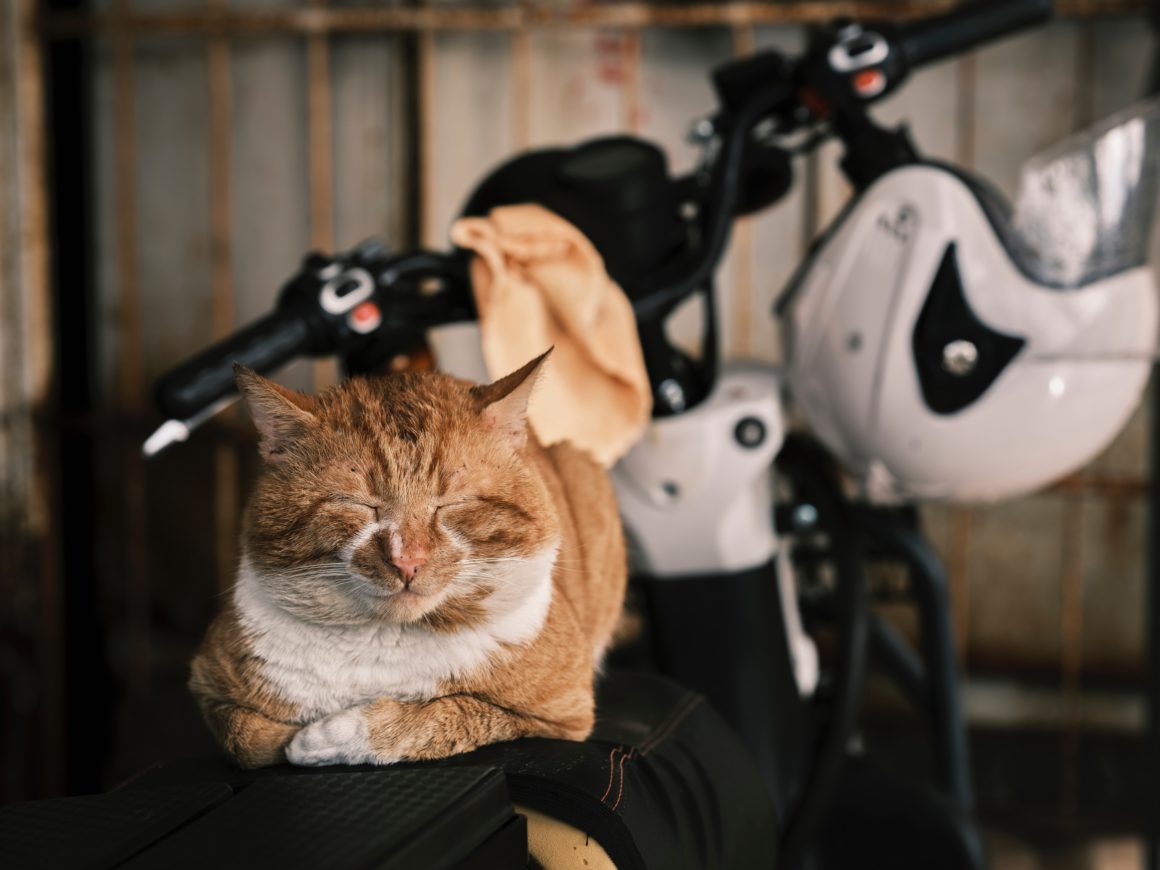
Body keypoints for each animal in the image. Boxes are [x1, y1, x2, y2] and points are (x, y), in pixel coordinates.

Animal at [190, 350, 631, 765]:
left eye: (451, 504)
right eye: (360, 505)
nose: (407, 561)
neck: (383, 639)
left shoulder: (563, 714)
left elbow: (450, 714)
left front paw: (328, 738)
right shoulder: (208, 685)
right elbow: (247, 736)